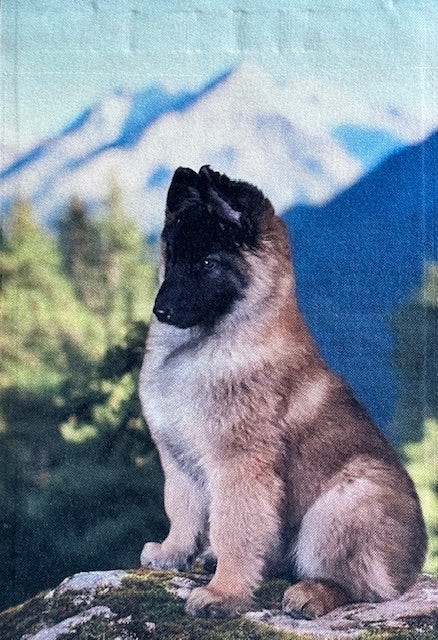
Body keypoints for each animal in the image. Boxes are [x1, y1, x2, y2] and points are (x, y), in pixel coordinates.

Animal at [139, 165, 424, 620]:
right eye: (173, 260)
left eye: (208, 263)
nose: (160, 311)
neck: (205, 346)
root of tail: (412, 568)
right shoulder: (178, 458)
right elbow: (181, 510)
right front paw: (172, 553)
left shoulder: (240, 466)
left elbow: (234, 528)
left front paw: (223, 593)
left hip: (346, 499)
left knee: (362, 584)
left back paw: (313, 592)